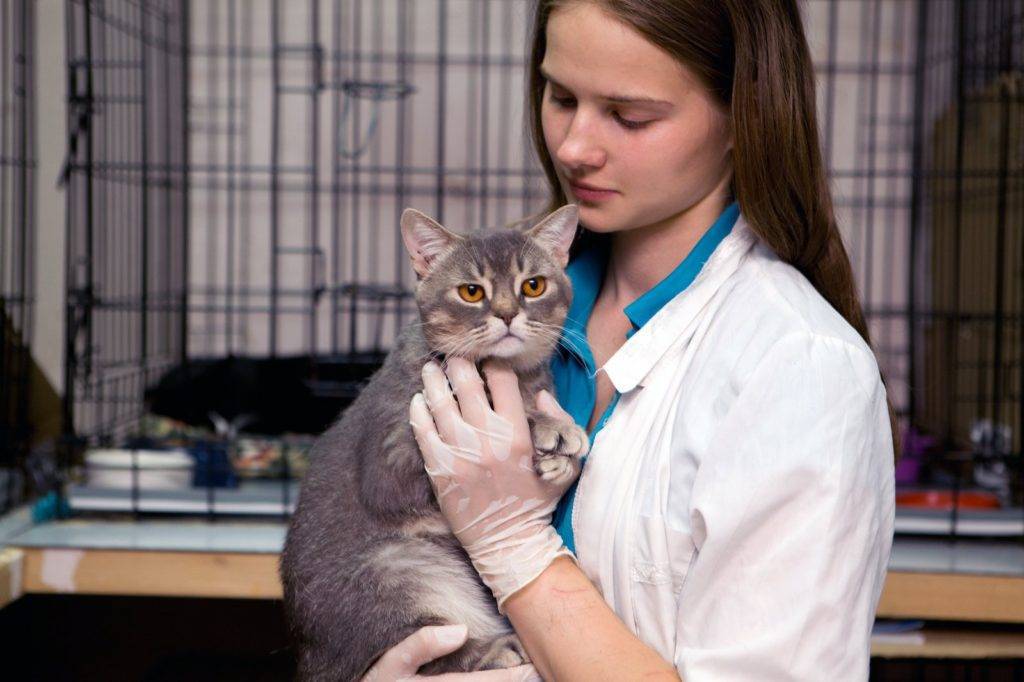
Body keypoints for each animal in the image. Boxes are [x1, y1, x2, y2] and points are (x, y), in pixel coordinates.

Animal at [279, 204, 590, 681]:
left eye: (533, 285)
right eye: (471, 292)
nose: (506, 314)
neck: (509, 374)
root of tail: (309, 663)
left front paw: (558, 457)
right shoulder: (392, 458)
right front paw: (545, 426)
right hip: (400, 569)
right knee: (424, 650)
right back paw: (496, 649)